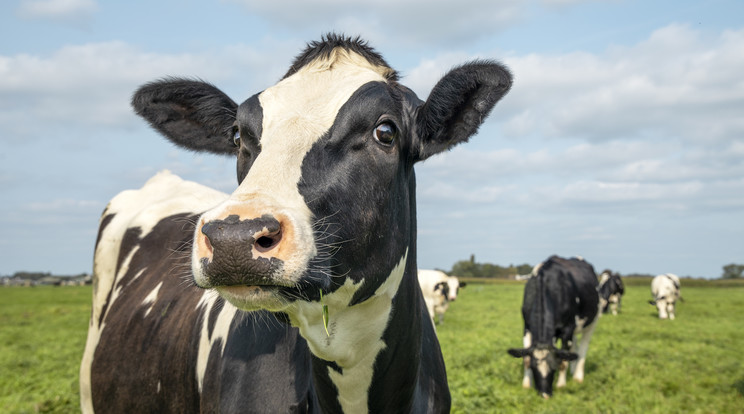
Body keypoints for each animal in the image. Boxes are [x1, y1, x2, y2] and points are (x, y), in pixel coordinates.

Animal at [506, 256, 600, 398]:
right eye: (533, 367)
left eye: (554, 367)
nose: (545, 395)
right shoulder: (527, 327)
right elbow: (526, 358)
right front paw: (526, 385)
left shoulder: (567, 329)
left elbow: (563, 360)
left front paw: (561, 385)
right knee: (574, 348)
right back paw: (573, 370)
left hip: (592, 321)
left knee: (583, 347)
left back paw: (578, 377)